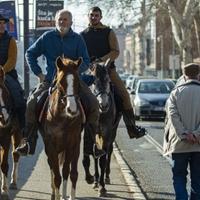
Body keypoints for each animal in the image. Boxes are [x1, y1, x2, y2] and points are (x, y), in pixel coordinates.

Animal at [38, 56, 84, 200]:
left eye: (78, 82)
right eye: (61, 82)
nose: (72, 109)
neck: (63, 118)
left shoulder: (72, 144)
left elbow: (69, 172)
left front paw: (68, 195)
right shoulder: (51, 146)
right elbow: (56, 176)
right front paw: (57, 194)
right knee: (53, 169)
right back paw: (54, 193)